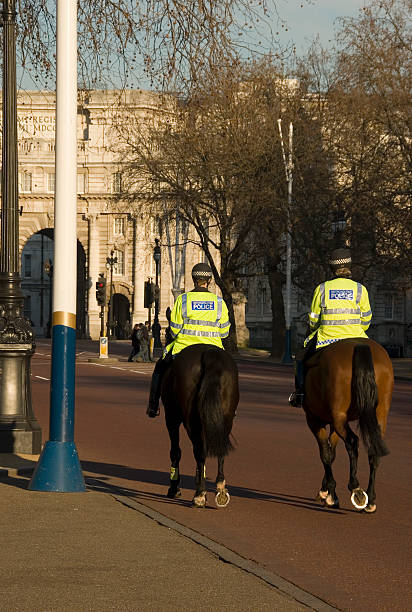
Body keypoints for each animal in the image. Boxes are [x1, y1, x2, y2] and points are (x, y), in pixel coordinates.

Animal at [160, 344, 238, 506]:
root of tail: (210, 354)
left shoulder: (171, 418)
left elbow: (175, 451)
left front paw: (174, 488)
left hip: (190, 421)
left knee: (199, 452)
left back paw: (199, 494)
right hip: (225, 419)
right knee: (220, 449)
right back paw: (220, 488)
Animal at [302, 338, 392, 512]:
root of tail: (359, 345)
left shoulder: (315, 420)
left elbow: (326, 454)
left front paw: (330, 494)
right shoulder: (333, 422)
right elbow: (332, 453)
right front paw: (326, 491)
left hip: (338, 417)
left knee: (352, 441)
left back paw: (356, 489)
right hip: (379, 414)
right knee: (373, 449)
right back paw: (370, 499)